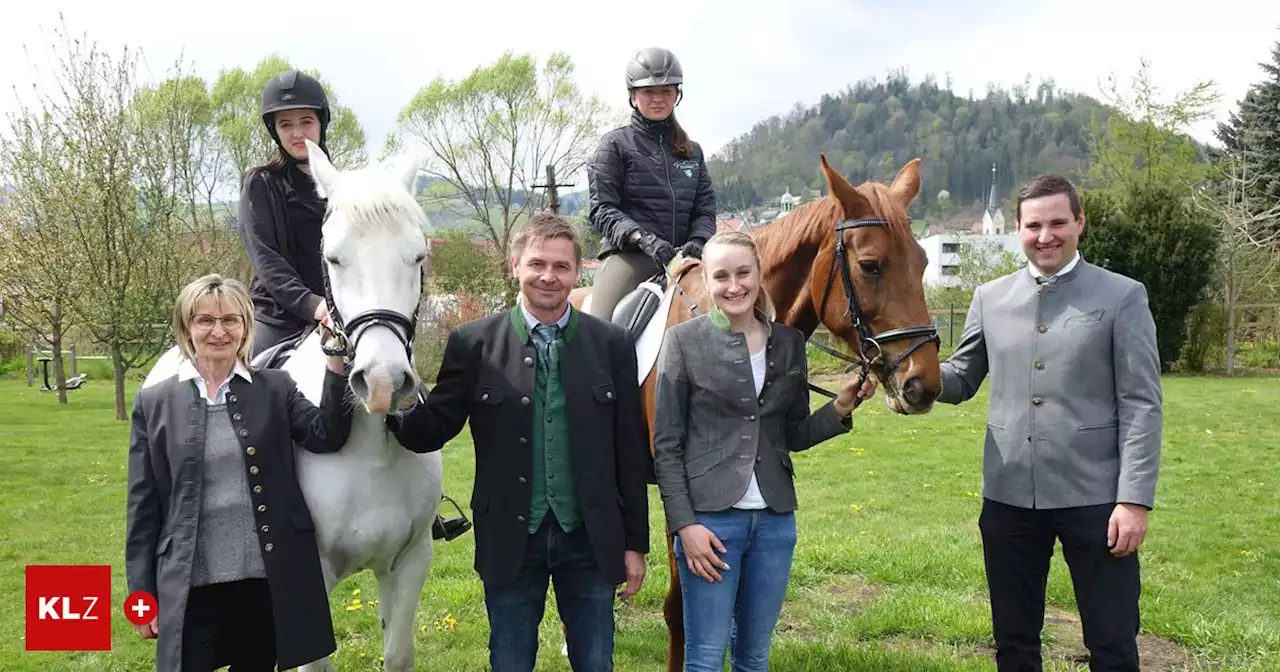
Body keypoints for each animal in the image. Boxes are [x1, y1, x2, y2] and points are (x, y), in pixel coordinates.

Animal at [142, 137, 442, 670]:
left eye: (417, 256)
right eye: (335, 259)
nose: (382, 382)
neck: (369, 447)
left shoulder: (410, 562)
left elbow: (398, 654)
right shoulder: (311, 575)